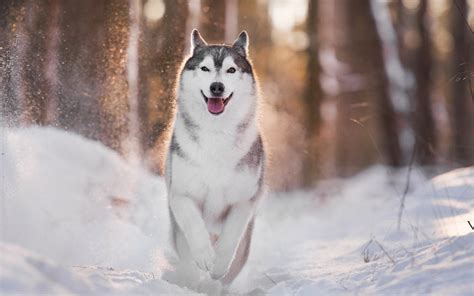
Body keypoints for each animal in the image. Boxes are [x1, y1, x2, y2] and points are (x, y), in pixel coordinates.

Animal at [165, 28, 264, 292]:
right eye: (205, 68)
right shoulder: (181, 194)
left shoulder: (243, 201)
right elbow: (194, 226)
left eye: (231, 70)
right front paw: (204, 257)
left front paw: (218, 264)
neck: (216, 134)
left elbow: (230, 238)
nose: (217, 87)